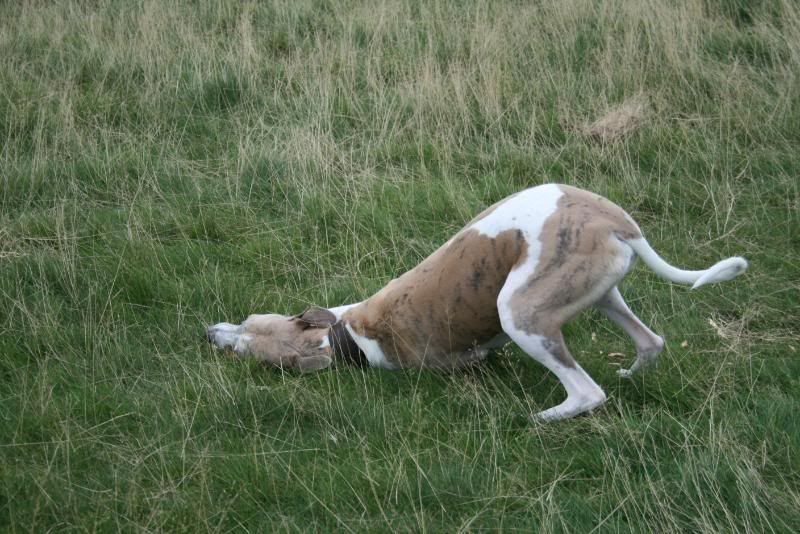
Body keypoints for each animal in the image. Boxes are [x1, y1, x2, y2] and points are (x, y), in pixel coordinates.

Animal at [205, 184, 744, 422]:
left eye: (246, 352)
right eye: (245, 319)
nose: (208, 333)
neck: (348, 332)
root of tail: (614, 218)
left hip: (521, 311)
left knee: (588, 392)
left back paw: (544, 418)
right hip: (598, 289)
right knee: (650, 341)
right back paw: (633, 371)